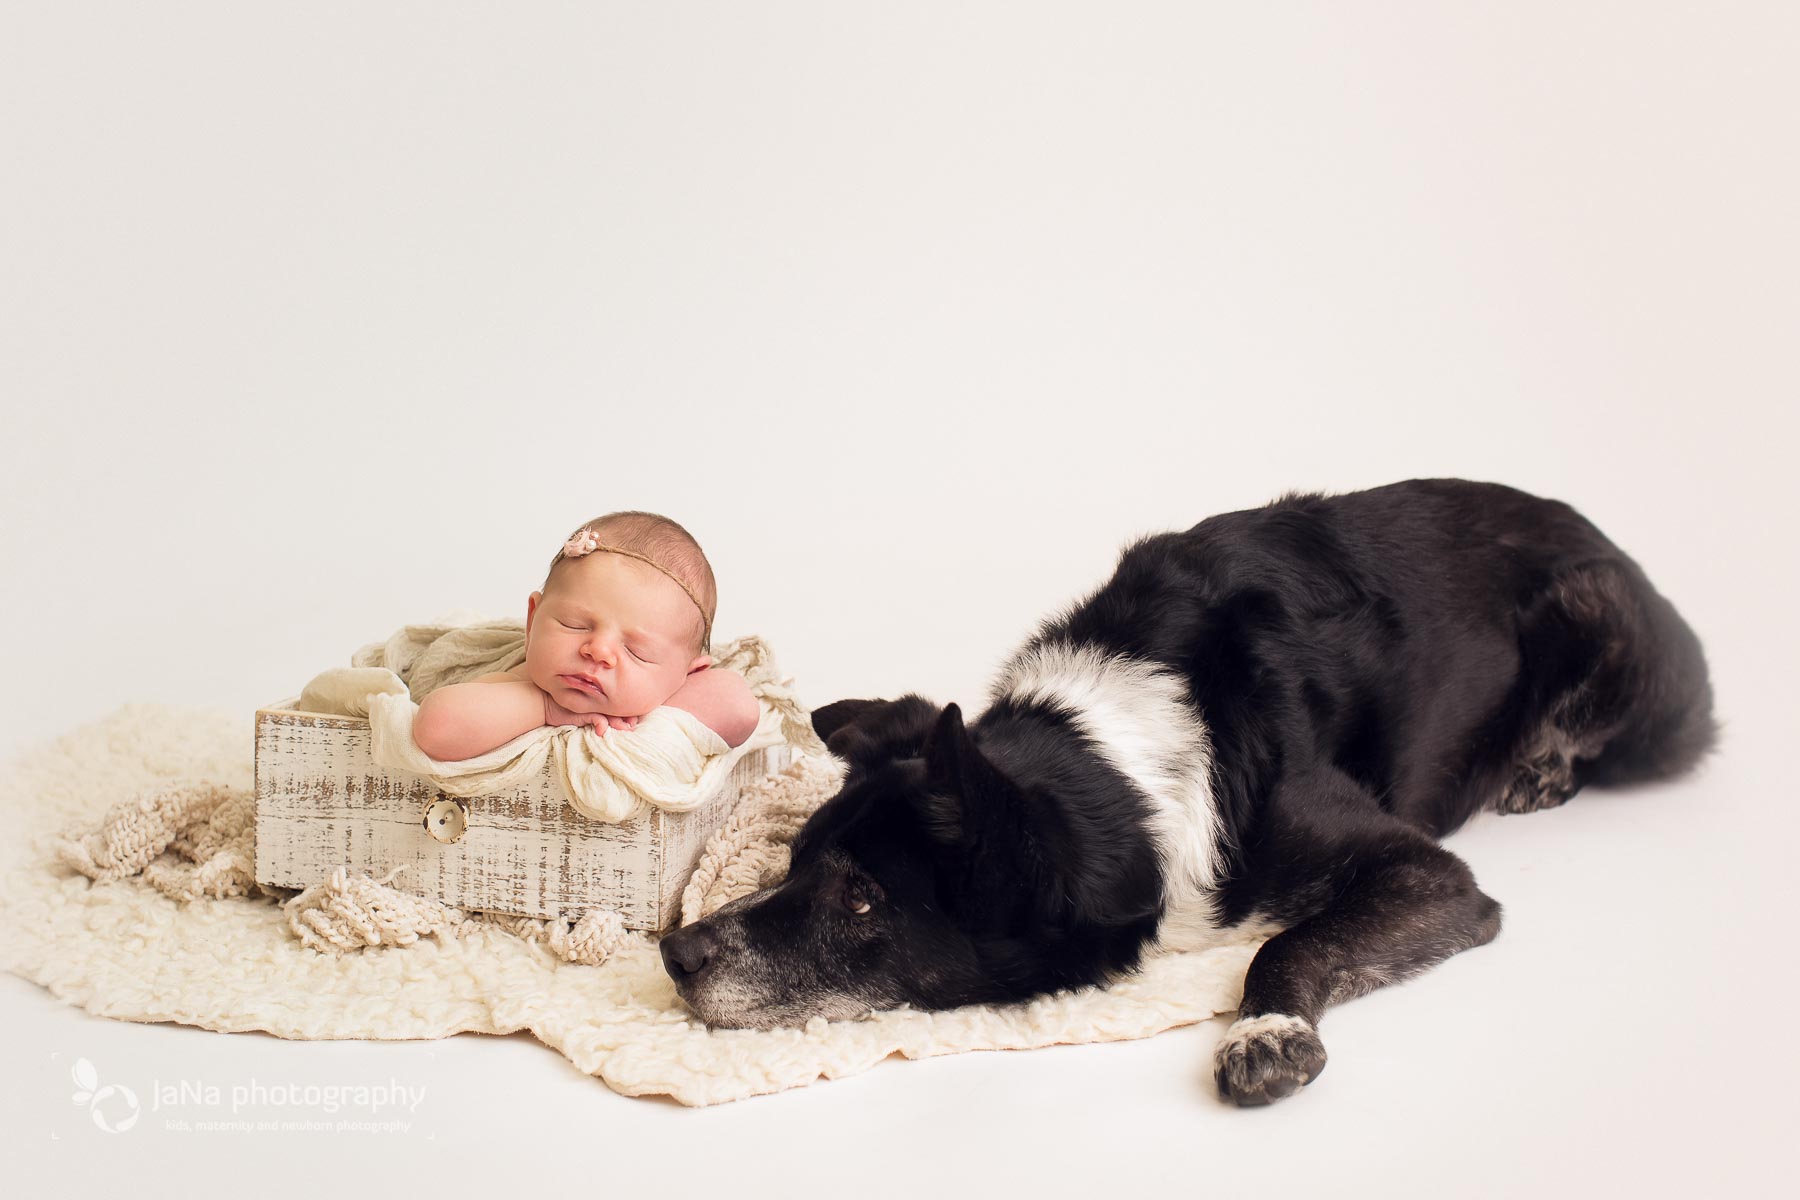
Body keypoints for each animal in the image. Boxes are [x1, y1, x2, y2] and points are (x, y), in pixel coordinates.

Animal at [662, 478, 1713, 1108]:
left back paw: (1543, 768)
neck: (1114, 777)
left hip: (1602, 622)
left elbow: (1290, 943)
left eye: (864, 898)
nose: (673, 953)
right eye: (795, 858)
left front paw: (1266, 1033)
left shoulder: (1426, 872)